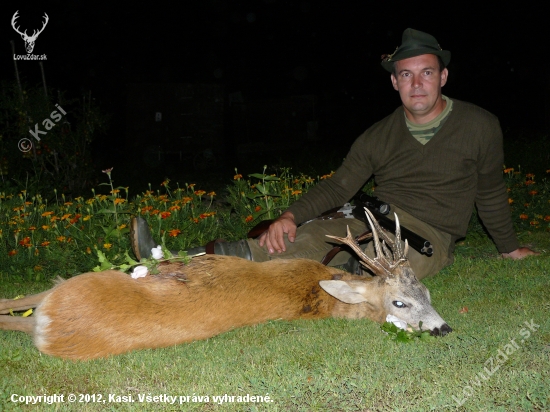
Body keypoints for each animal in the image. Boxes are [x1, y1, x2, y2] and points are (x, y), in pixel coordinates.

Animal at [0, 211, 452, 358]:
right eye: (400, 302)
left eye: (427, 294)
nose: (444, 327)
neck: (319, 293)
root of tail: (48, 329)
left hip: (70, 285)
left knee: (11, 305)